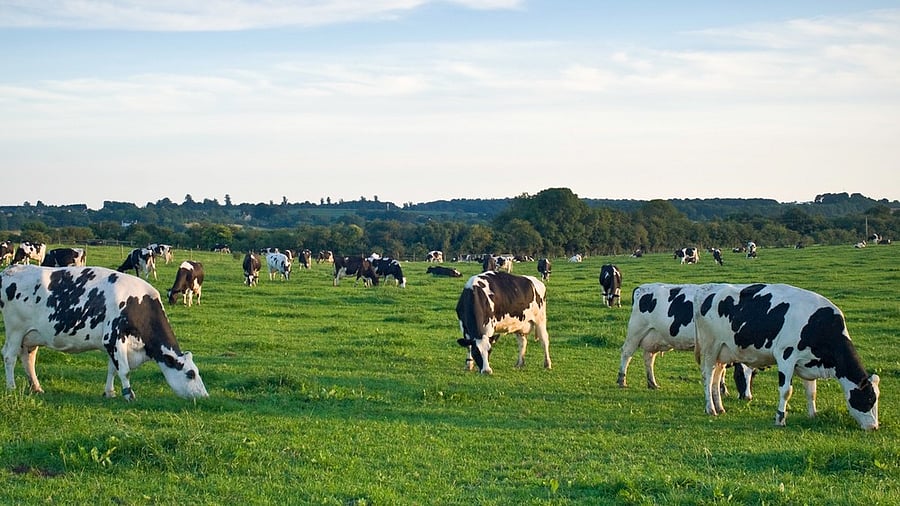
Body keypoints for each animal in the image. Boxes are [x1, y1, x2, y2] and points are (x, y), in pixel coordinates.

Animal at [0, 265, 208, 401]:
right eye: (190, 374)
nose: (205, 395)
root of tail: (11, 270)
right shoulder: (114, 338)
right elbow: (124, 370)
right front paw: (129, 395)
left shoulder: (113, 344)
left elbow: (112, 369)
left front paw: (110, 392)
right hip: (15, 330)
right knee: (9, 356)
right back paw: (11, 387)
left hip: (32, 335)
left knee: (28, 358)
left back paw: (36, 387)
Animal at [618, 283, 754, 399]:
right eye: (739, 374)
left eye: (754, 375)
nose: (747, 397)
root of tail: (642, 287)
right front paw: (722, 390)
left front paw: (722, 390)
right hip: (636, 331)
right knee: (626, 353)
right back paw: (622, 380)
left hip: (654, 337)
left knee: (649, 358)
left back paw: (652, 383)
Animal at [693, 283, 880, 430]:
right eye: (869, 398)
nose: (874, 427)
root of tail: (707, 291)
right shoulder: (786, 356)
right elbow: (786, 391)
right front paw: (780, 418)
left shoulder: (809, 363)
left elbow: (811, 392)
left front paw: (813, 415)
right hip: (710, 348)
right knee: (708, 377)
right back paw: (710, 409)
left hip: (723, 353)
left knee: (716, 379)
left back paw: (720, 407)